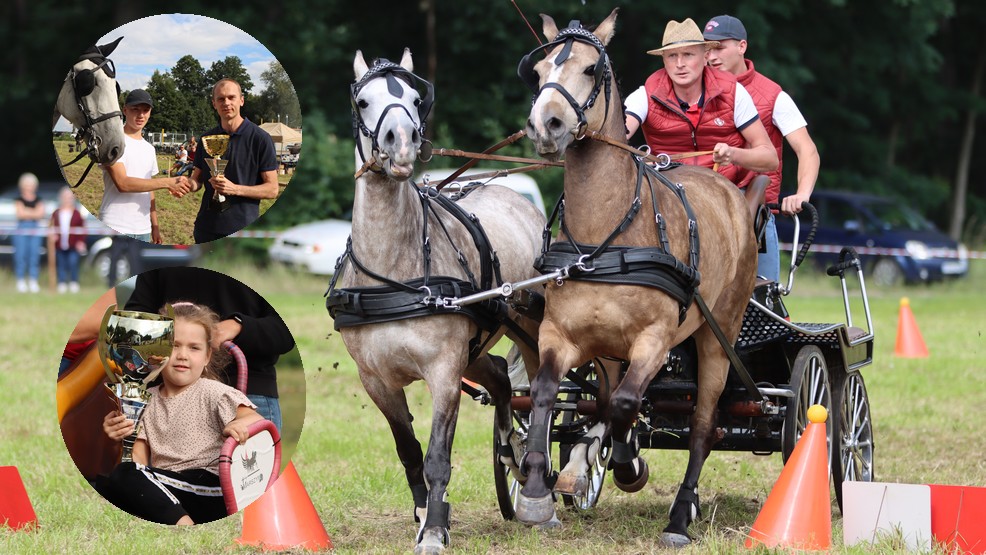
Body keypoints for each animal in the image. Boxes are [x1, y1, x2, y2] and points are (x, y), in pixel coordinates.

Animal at [328, 50, 544, 552]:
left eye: (414, 98)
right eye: (363, 101)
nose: (402, 143)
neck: (396, 275)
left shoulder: (444, 372)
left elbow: (437, 456)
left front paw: (435, 530)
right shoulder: (376, 380)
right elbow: (409, 453)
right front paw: (426, 512)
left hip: (528, 329)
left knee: (543, 392)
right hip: (477, 344)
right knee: (500, 379)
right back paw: (509, 448)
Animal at [516, 9, 752, 548]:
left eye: (591, 70)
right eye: (538, 72)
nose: (546, 124)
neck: (606, 235)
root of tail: (733, 195)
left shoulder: (655, 341)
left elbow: (627, 404)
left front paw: (626, 465)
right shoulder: (561, 335)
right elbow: (548, 393)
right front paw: (539, 488)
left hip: (718, 335)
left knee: (703, 424)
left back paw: (680, 516)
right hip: (609, 349)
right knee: (604, 400)